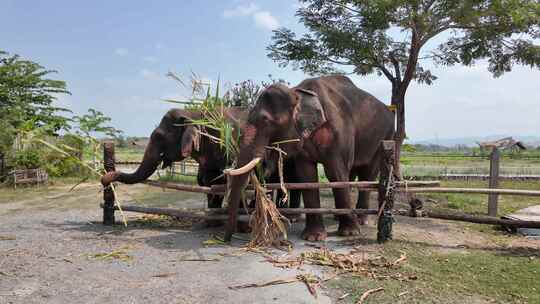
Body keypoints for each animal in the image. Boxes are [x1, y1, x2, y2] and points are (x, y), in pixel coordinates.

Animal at [224, 75, 392, 240]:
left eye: (266, 121)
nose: (229, 238)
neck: (298, 92)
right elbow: (306, 175)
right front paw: (313, 237)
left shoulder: (340, 131)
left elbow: (336, 173)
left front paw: (349, 233)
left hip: (384, 138)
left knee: (368, 174)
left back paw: (361, 221)